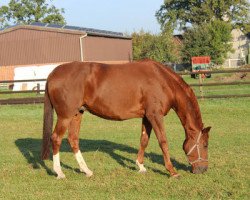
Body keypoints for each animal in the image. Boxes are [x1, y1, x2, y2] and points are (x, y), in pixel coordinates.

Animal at [41, 59, 211, 178]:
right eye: (205, 145)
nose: (203, 169)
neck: (162, 80)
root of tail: (52, 74)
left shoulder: (147, 116)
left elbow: (144, 140)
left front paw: (141, 166)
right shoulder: (155, 115)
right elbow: (163, 141)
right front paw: (172, 171)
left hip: (77, 114)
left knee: (73, 139)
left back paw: (87, 171)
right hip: (65, 116)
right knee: (56, 138)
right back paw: (60, 173)